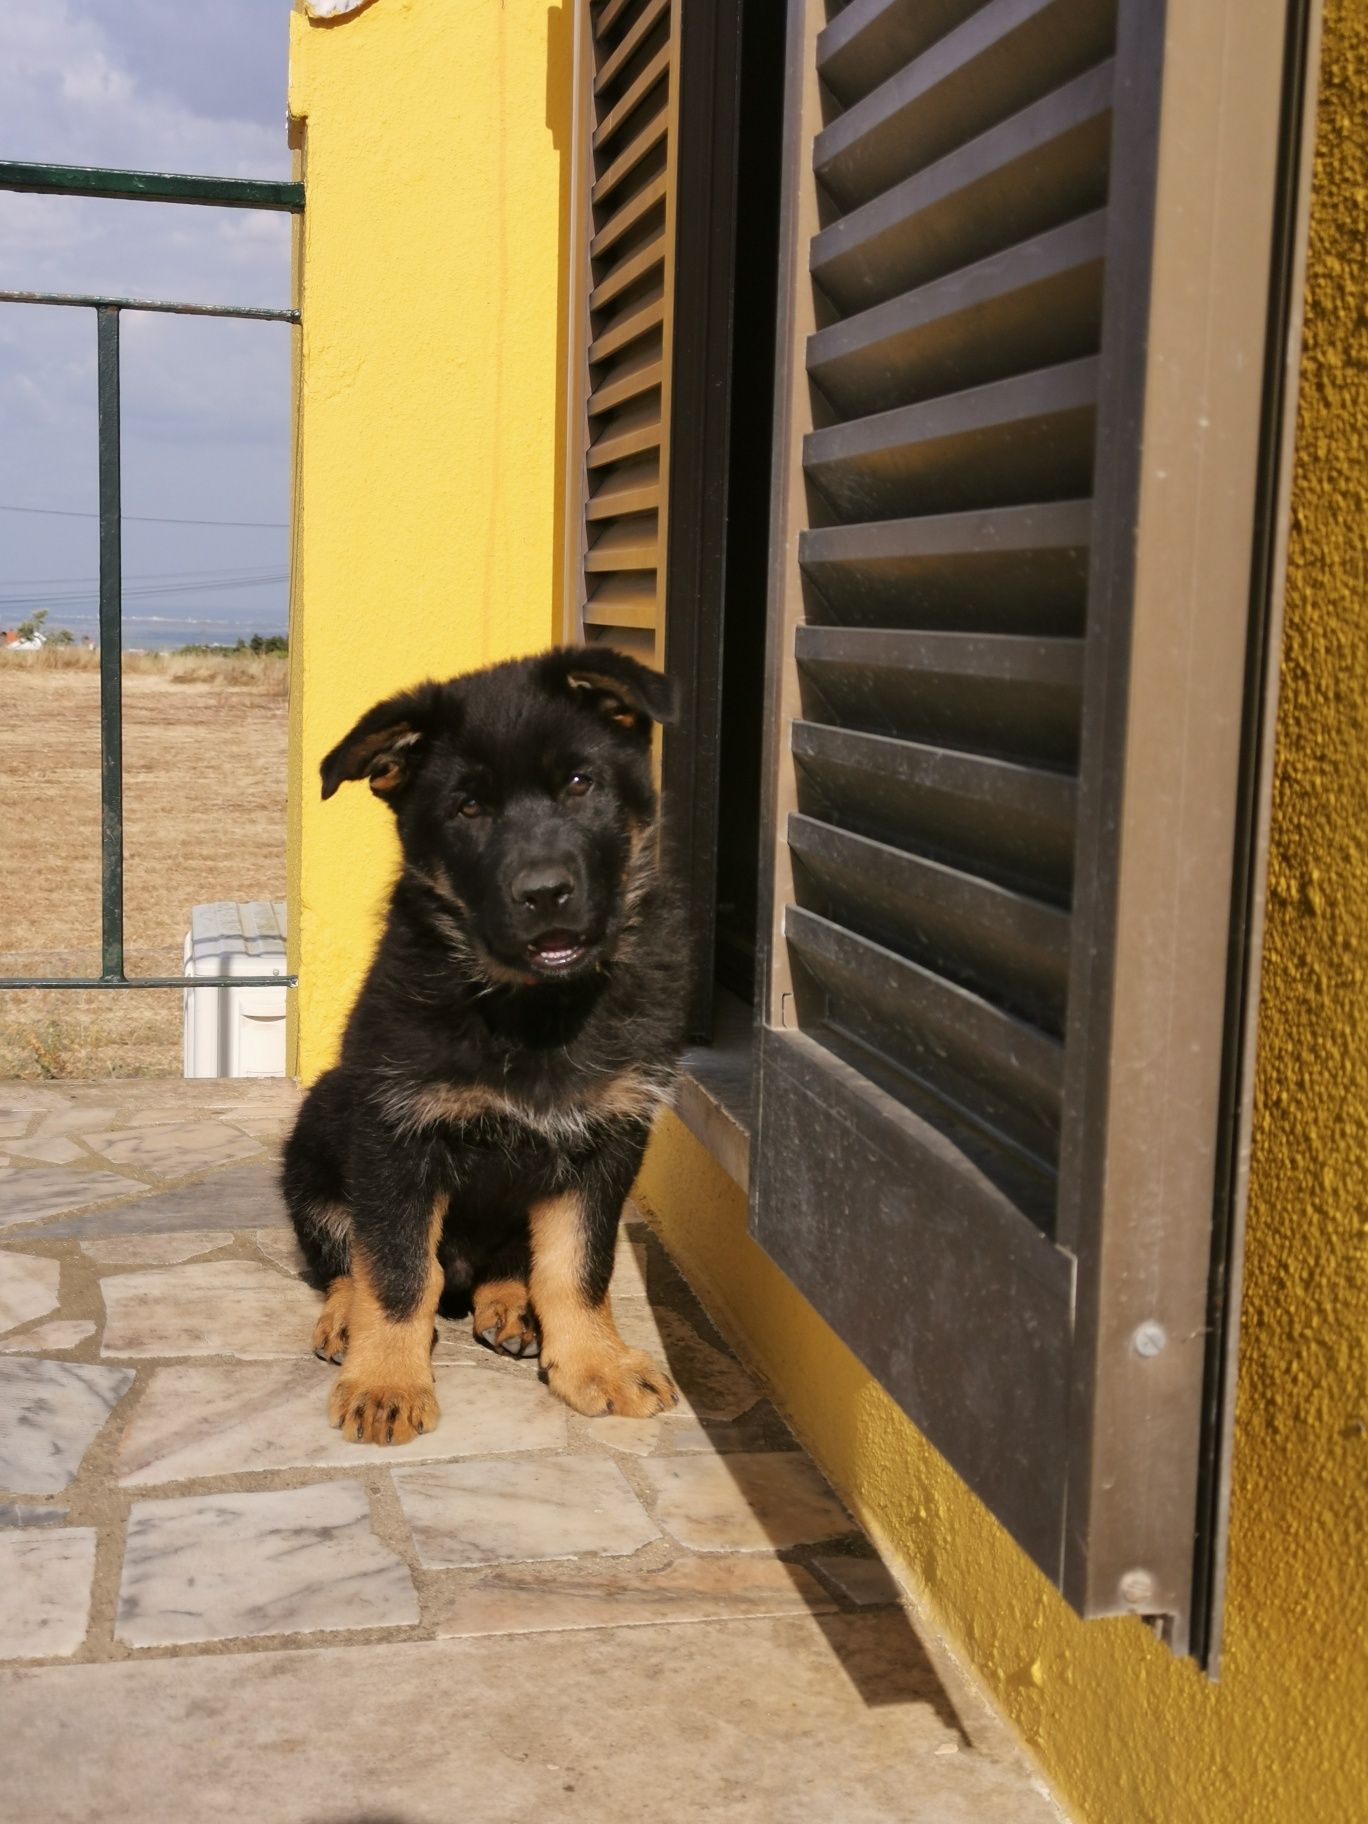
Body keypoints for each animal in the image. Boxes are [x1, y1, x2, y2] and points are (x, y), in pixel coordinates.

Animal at [280, 649, 685, 1444]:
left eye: (580, 784)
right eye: (468, 809)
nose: (545, 892)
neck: (531, 1007)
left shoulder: (608, 1138)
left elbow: (577, 1266)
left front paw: (596, 1362)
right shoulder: (395, 1134)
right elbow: (398, 1270)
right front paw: (385, 1380)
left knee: (511, 1263)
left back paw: (512, 1306)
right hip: (318, 1136)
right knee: (351, 1262)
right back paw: (346, 1321)